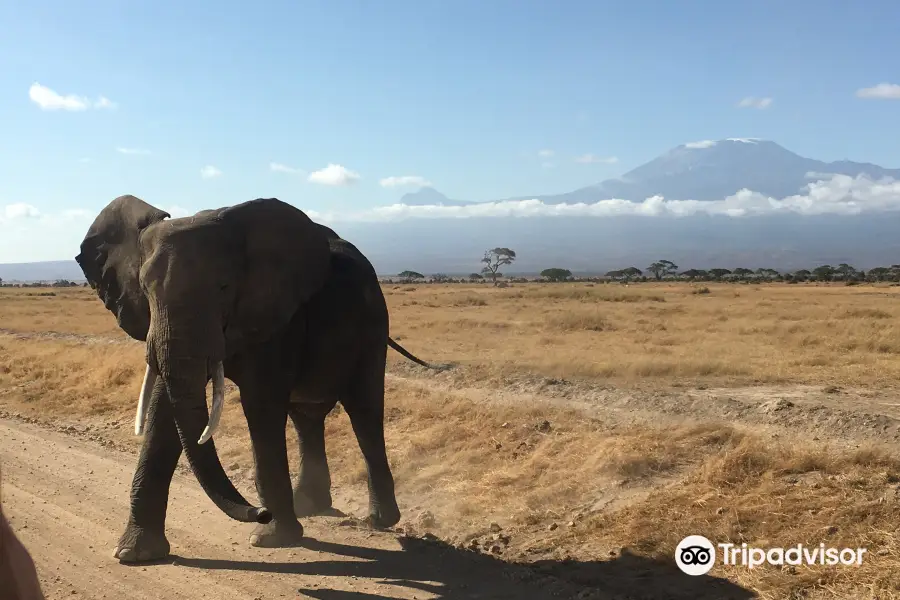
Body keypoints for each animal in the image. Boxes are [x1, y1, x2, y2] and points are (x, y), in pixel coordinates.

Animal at [75, 193, 442, 564]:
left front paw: (272, 539)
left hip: (372, 325)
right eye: (145, 292)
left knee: (363, 411)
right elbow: (163, 412)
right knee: (306, 418)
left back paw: (378, 520)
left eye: (224, 287)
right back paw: (308, 507)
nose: (260, 512)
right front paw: (133, 554)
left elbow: (260, 406)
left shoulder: (275, 316)